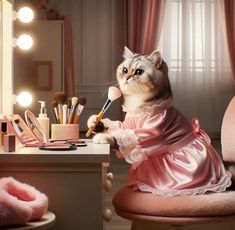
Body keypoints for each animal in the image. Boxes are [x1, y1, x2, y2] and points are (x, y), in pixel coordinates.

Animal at [86, 46, 231, 196]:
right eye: (124, 70)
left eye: (139, 72)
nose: (127, 77)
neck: (138, 102)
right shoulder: (128, 123)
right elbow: (117, 126)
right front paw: (95, 122)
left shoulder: (151, 132)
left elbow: (126, 138)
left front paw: (103, 137)